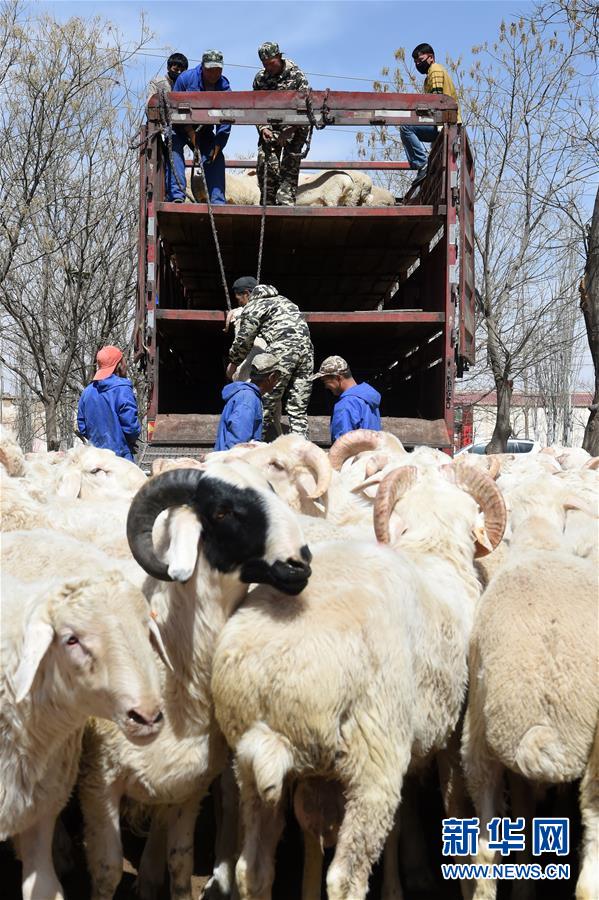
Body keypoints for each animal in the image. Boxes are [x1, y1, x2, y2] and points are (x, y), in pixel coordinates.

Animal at [211, 464, 506, 900]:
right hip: (374, 761)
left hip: (248, 765)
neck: (432, 552)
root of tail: (273, 677)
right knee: (346, 878)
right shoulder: (450, 734)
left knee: (254, 870)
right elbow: (455, 806)